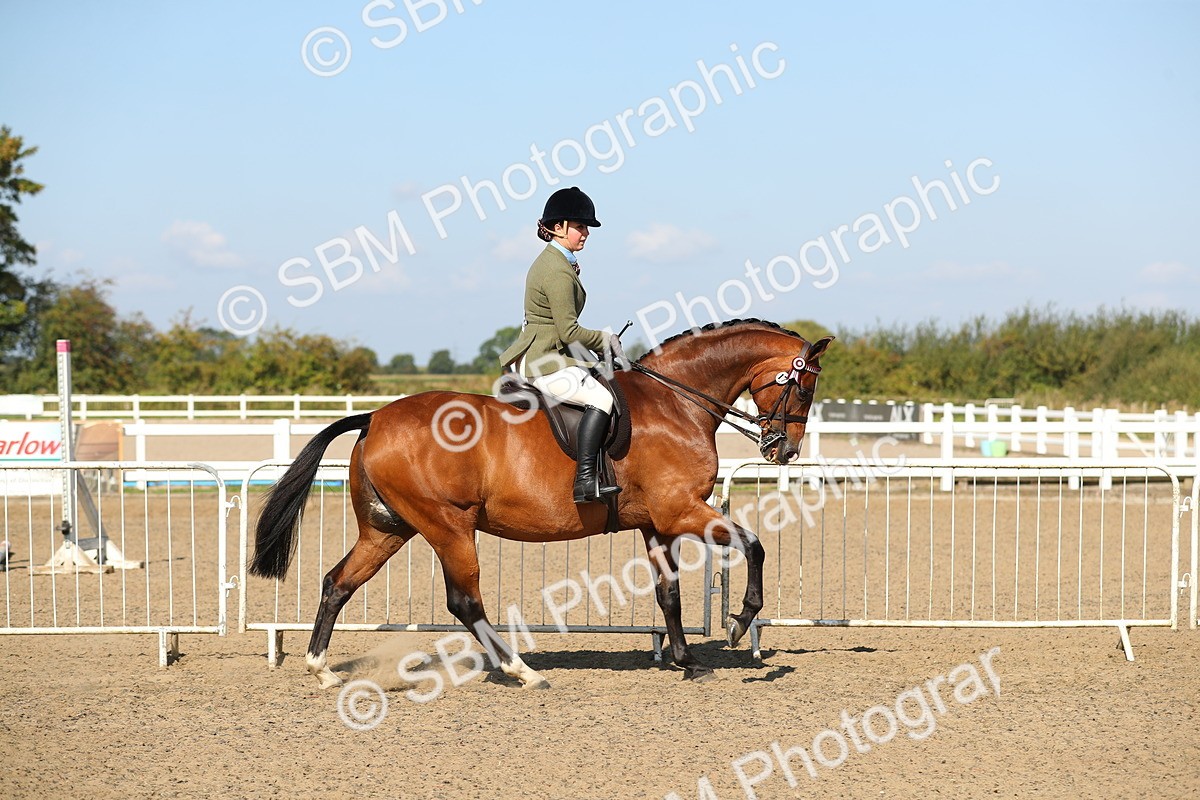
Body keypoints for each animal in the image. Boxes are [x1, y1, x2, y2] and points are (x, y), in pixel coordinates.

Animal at [249, 319, 833, 689]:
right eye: (803, 389)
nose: (784, 451)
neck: (676, 402)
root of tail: (374, 417)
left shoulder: (657, 524)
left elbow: (668, 595)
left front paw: (688, 662)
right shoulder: (681, 510)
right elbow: (753, 546)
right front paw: (738, 624)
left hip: (388, 530)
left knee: (338, 582)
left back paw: (322, 669)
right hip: (449, 527)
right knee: (464, 602)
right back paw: (522, 672)